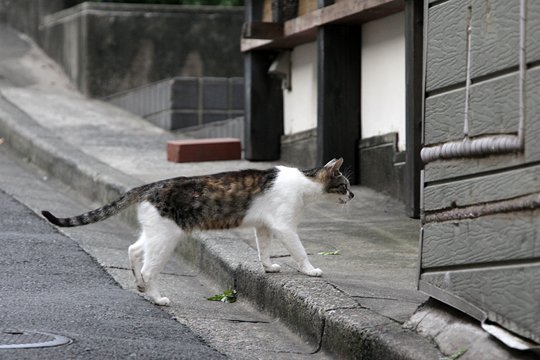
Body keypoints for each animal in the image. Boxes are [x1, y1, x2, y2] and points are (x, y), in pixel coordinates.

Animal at [43, 158, 354, 304]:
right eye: (345, 185)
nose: (352, 196)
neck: (305, 182)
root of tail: (151, 185)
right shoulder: (284, 226)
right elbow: (299, 251)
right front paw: (311, 270)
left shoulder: (264, 226)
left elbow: (263, 248)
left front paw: (268, 267)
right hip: (167, 238)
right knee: (148, 268)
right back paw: (156, 297)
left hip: (156, 233)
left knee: (134, 250)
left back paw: (140, 285)